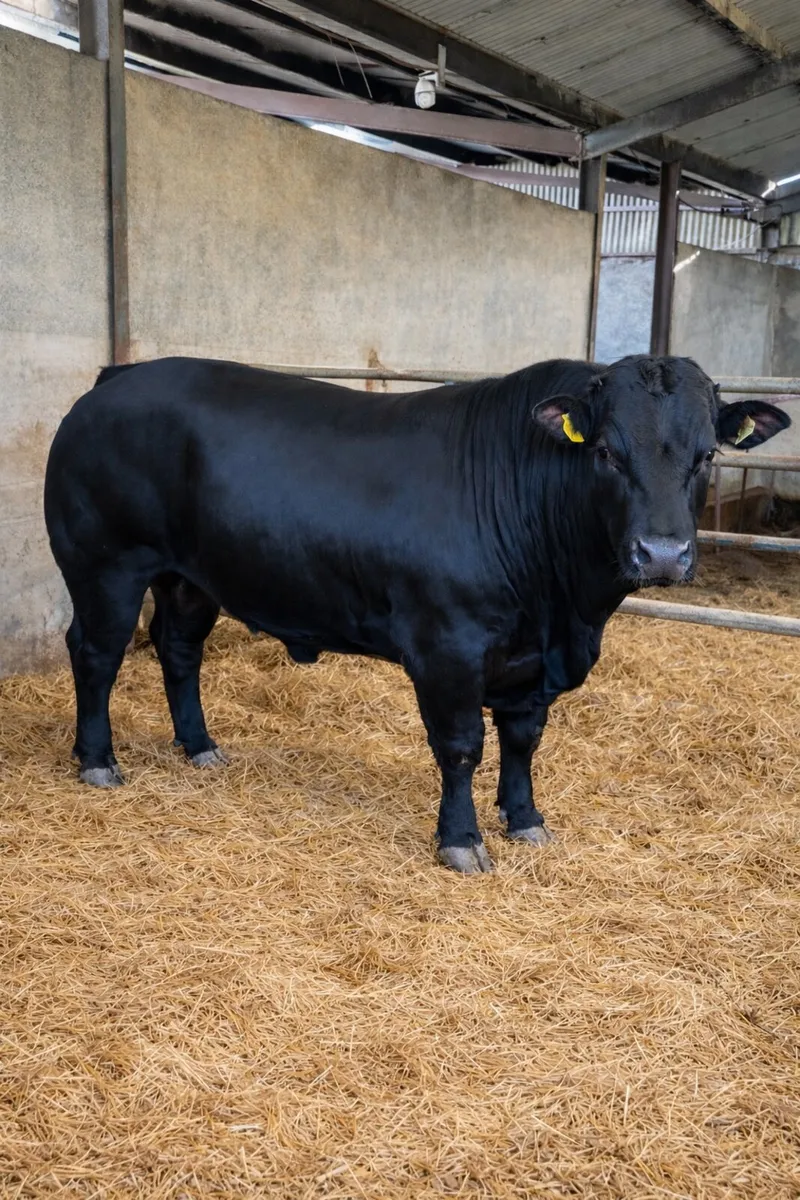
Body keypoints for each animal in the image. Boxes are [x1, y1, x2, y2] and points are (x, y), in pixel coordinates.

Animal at [43, 355, 790, 872]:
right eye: (606, 451)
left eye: (707, 455)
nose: (662, 552)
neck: (565, 611)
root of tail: (120, 375)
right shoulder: (447, 647)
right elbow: (461, 746)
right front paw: (461, 841)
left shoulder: (530, 662)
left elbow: (524, 741)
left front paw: (526, 820)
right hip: (105, 565)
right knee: (96, 653)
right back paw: (98, 760)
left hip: (190, 577)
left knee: (177, 646)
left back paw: (200, 746)